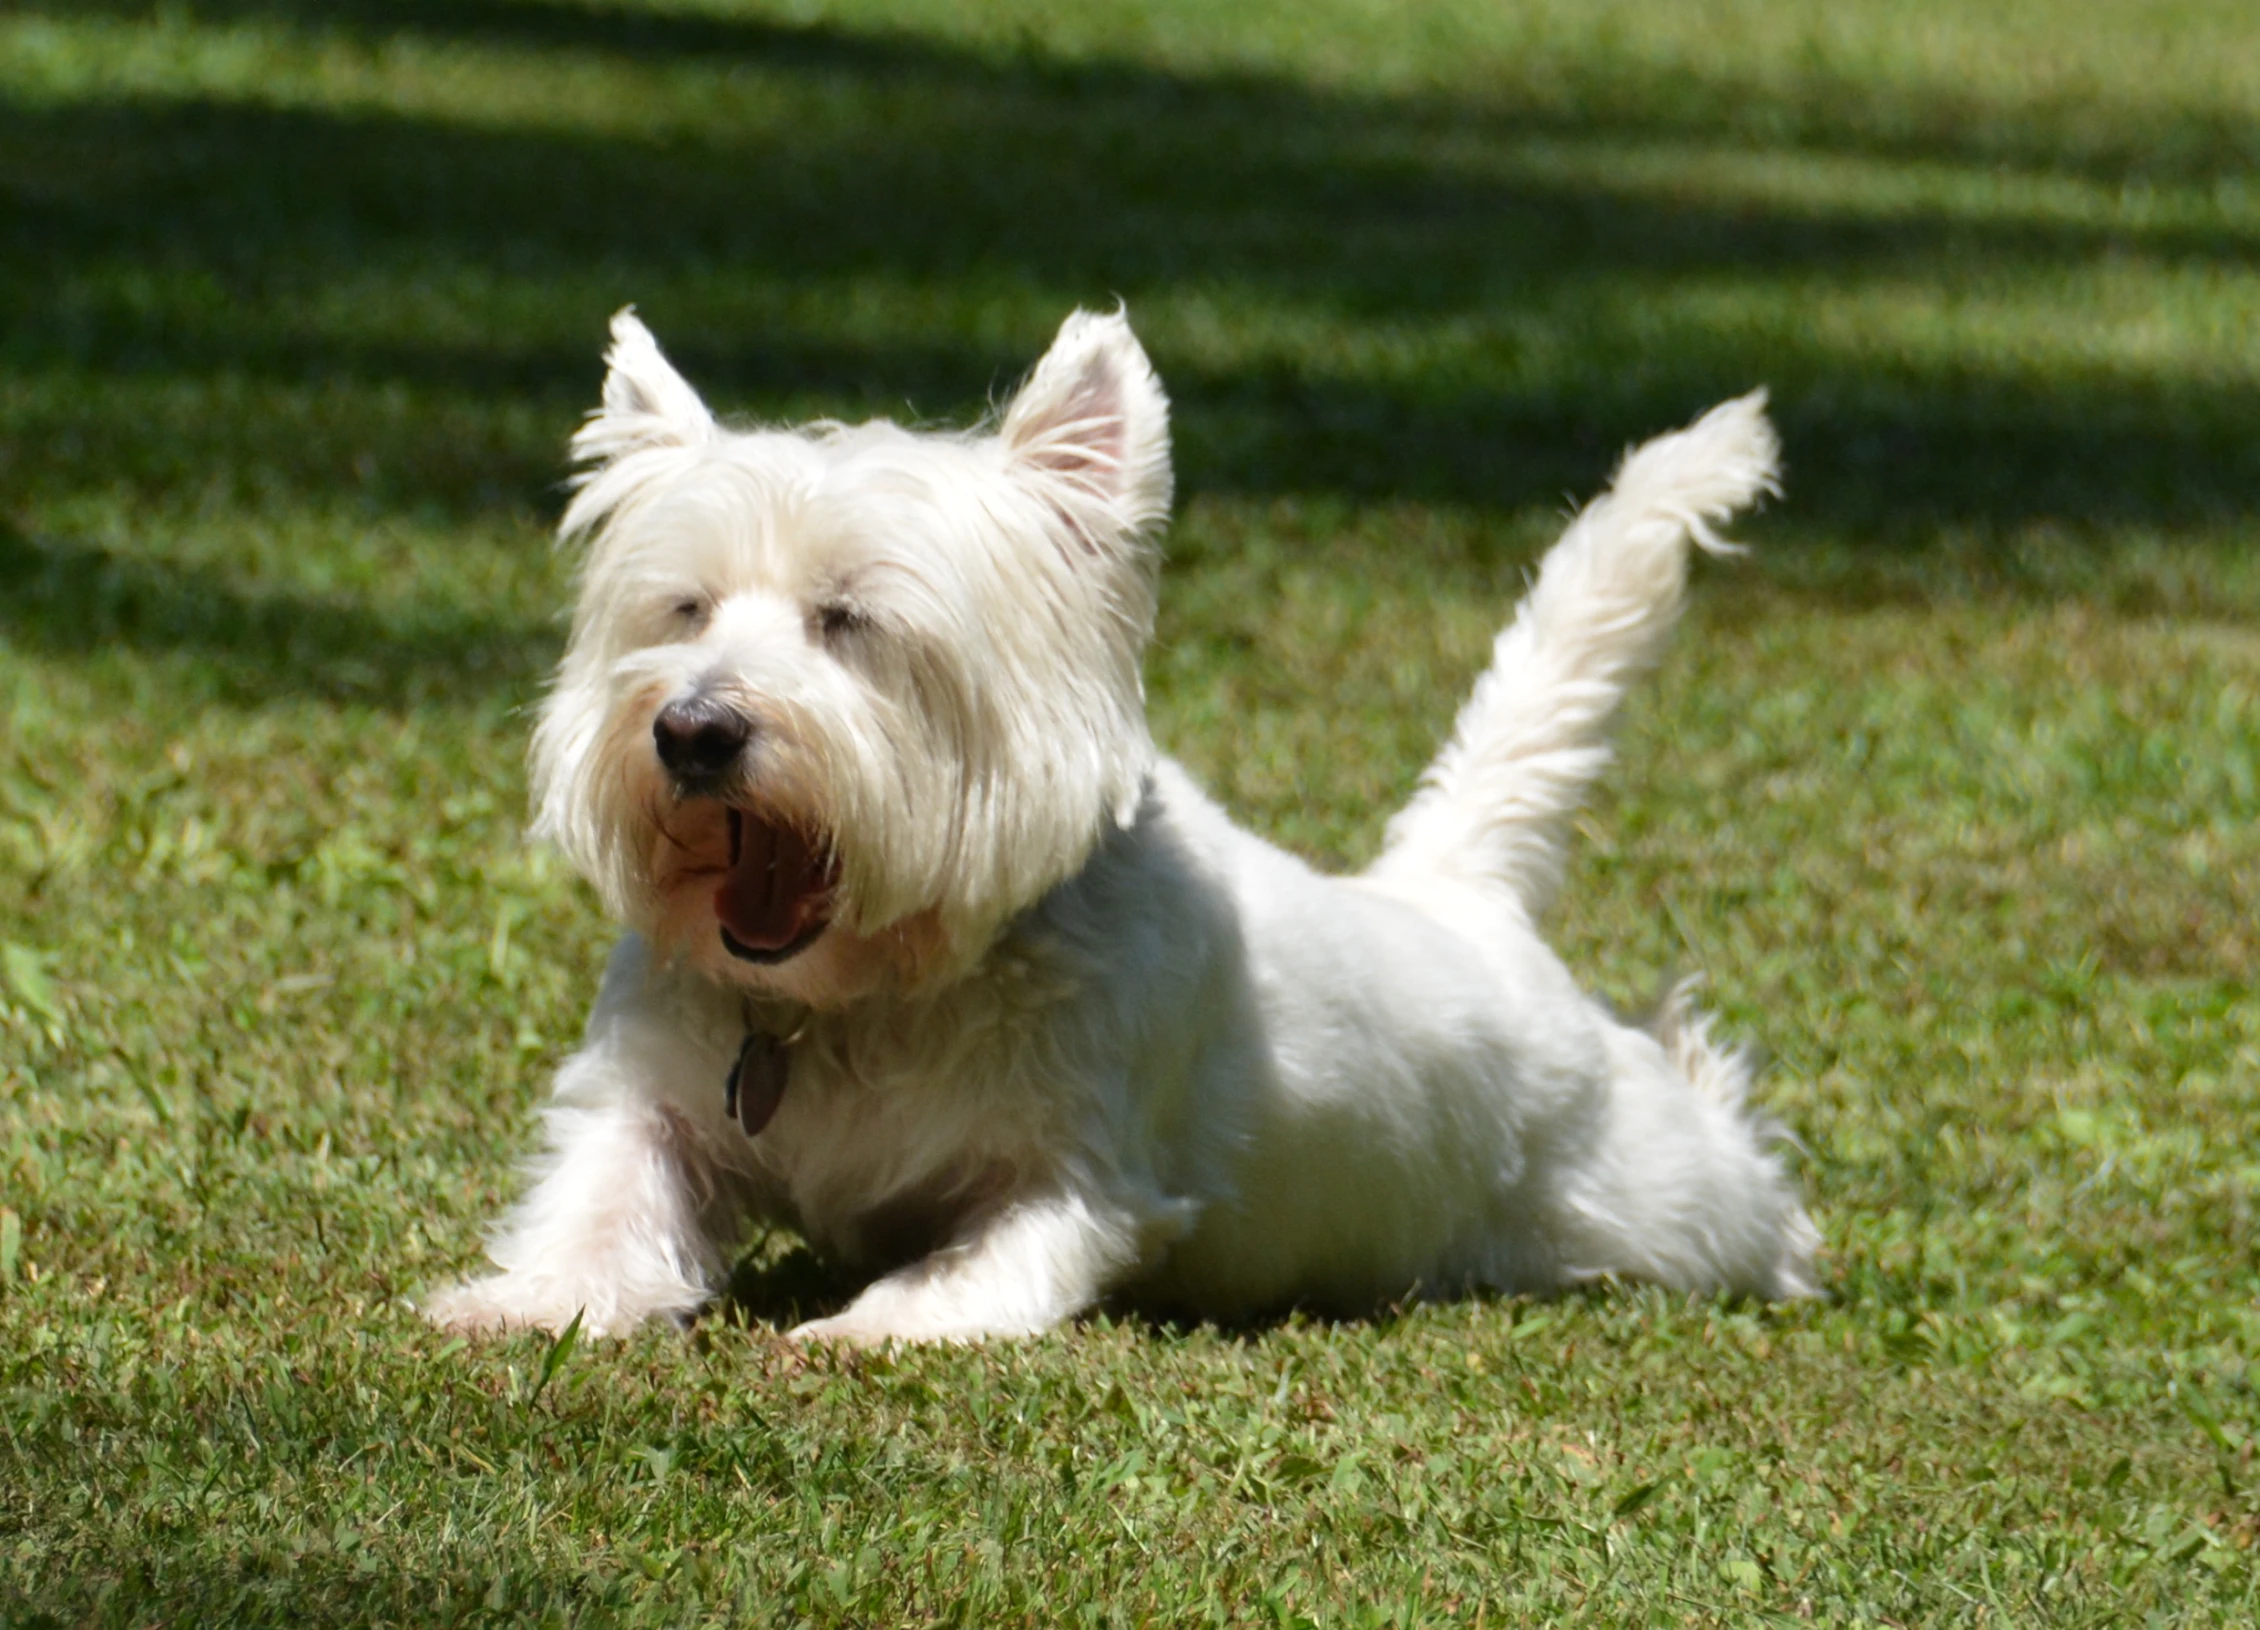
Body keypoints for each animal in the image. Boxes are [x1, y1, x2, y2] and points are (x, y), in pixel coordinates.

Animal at [424, 307, 1817, 1347]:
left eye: (849, 617)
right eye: (685, 609)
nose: (692, 732)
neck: (866, 994)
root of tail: (1456, 895)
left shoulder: (1082, 1173)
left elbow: (973, 1265)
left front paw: (863, 1326)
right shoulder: (649, 1100)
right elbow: (601, 1201)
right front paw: (518, 1300)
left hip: (1651, 1199)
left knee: (1731, 1170)